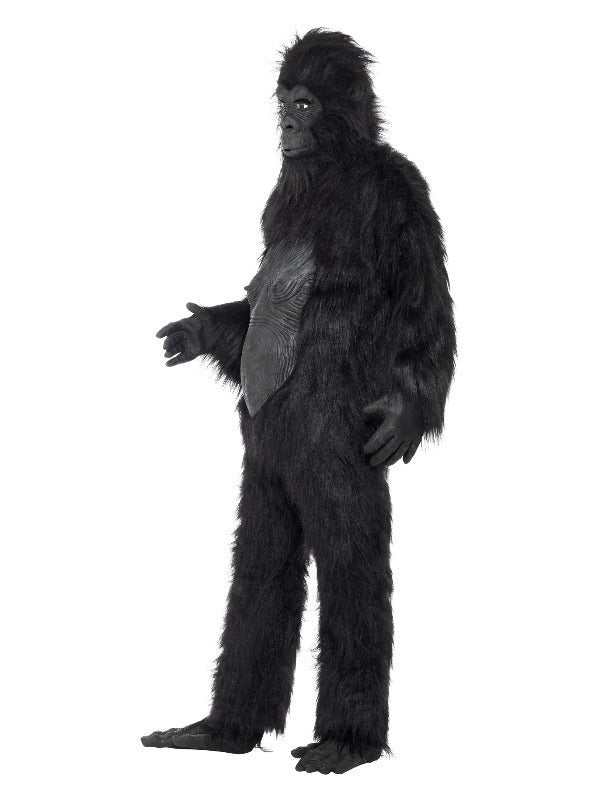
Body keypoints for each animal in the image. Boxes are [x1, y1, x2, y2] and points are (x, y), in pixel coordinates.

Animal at [142, 29, 456, 774]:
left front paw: (404, 416)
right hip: (267, 473)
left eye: (307, 104)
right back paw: (222, 730)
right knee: (261, 560)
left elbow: (427, 312)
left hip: (329, 461)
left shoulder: (403, 196)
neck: (335, 169)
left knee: (352, 563)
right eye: (285, 101)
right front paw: (197, 332)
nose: (286, 126)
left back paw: (346, 743)